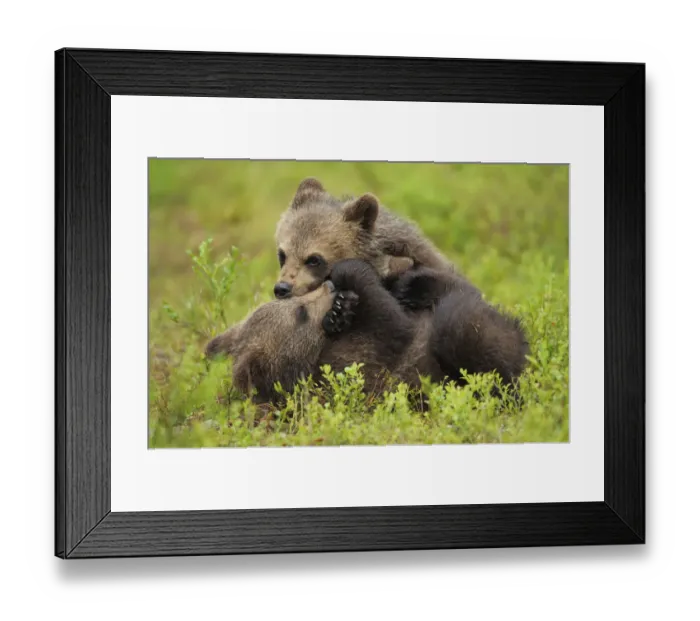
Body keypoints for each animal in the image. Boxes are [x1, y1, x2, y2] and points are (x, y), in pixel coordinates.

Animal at [206, 259, 528, 404]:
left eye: (292, 302)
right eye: (300, 314)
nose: (328, 286)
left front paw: (343, 307)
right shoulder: (361, 364)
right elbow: (392, 325)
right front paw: (348, 278)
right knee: (464, 329)